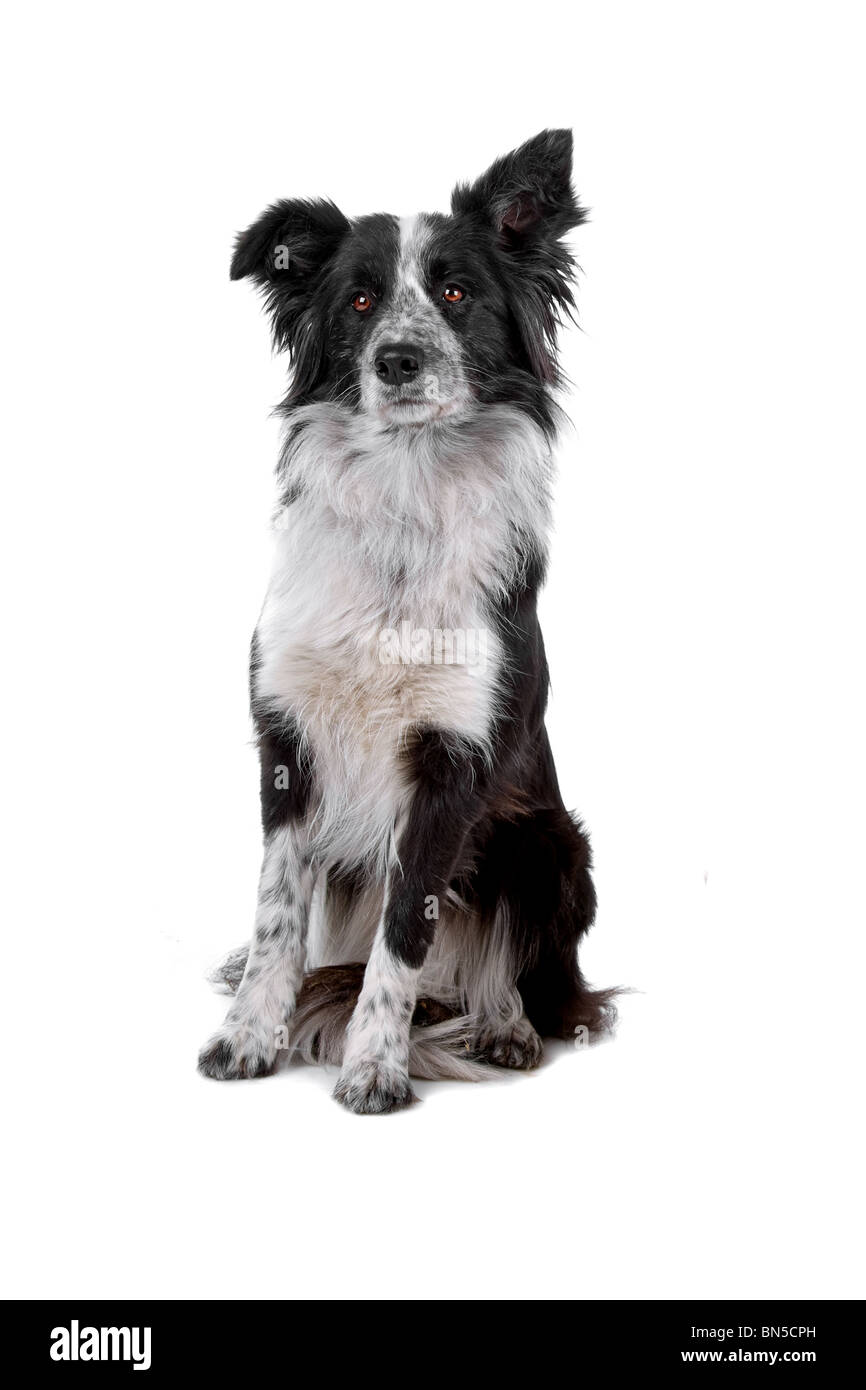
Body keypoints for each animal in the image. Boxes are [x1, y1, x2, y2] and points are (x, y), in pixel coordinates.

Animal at [198, 127, 617, 1106]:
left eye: (456, 293)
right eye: (358, 300)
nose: (398, 358)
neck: (404, 497)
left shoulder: (450, 761)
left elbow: (407, 930)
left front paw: (375, 1066)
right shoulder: (288, 739)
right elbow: (278, 913)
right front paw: (248, 1037)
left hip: (554, 845)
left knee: (513, 971)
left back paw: (503, 1025)